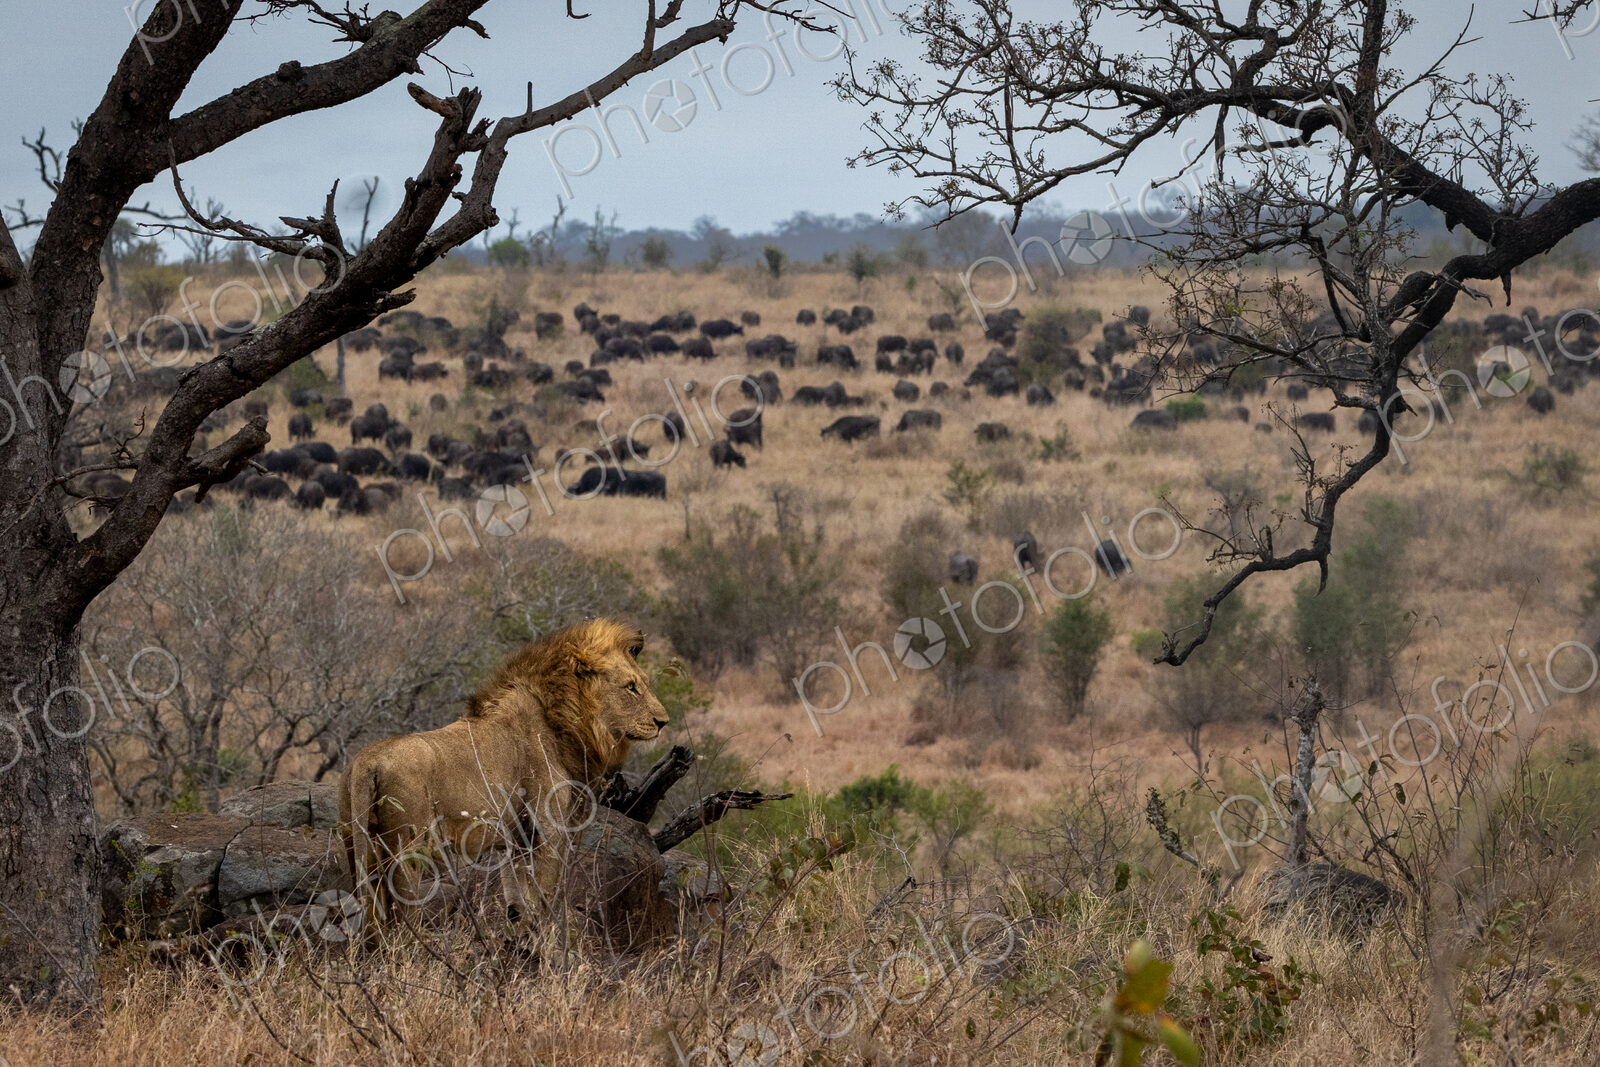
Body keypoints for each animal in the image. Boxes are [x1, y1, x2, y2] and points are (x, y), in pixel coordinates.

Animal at [340, 617, 668, 929]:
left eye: (645, 683)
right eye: (630, 687)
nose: (663, 722)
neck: (565, 722)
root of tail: (366, 761)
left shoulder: (516, 841)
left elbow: (519, 905)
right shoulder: (548, 831)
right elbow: (544, 901)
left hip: (354, 845)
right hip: (406, 849)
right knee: (399, 920)